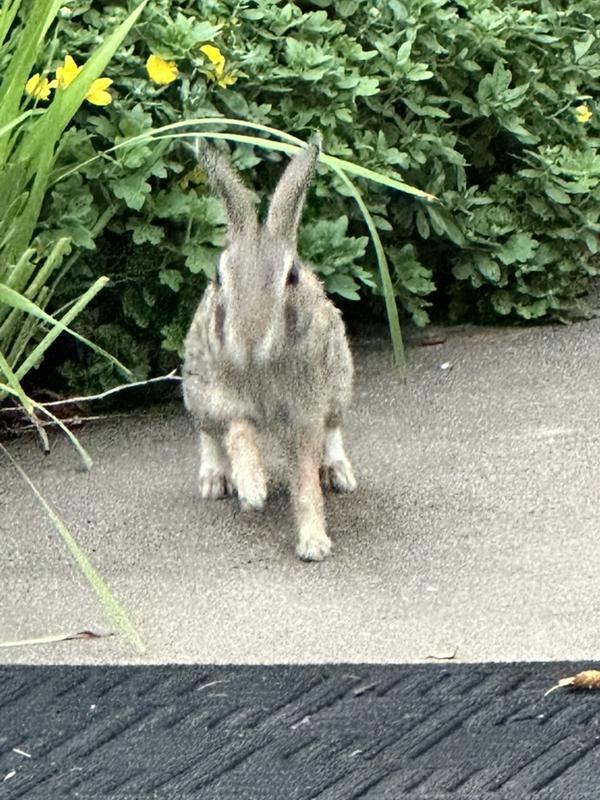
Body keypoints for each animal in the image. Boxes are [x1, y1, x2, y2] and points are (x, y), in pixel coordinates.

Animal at [182, 137, 356, 561]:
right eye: (218, 276)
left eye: (292, 276)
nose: (248, 340)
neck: (260, 364)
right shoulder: (224, 396)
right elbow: (239, 434)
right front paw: (253, 489)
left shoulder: (307, 408)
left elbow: (305, 478)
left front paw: (314, 543)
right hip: (195, 390)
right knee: (208, 434)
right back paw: (215, 480)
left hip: (340, 380)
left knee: (333, 431)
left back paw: (339, 474)